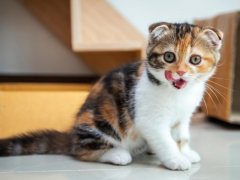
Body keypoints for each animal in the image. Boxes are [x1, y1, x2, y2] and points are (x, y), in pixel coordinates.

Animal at [0, 22, 223, 170]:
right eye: (169, 56)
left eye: (195, 59)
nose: (180, 73)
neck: (177, 93)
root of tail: (72, 135)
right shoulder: (149, 118)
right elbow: (164, 140)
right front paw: (176, 159)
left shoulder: (183, 117)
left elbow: (182, 136)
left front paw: (186, 152)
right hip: (100, 122)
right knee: (82, 151)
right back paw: (116, 154)